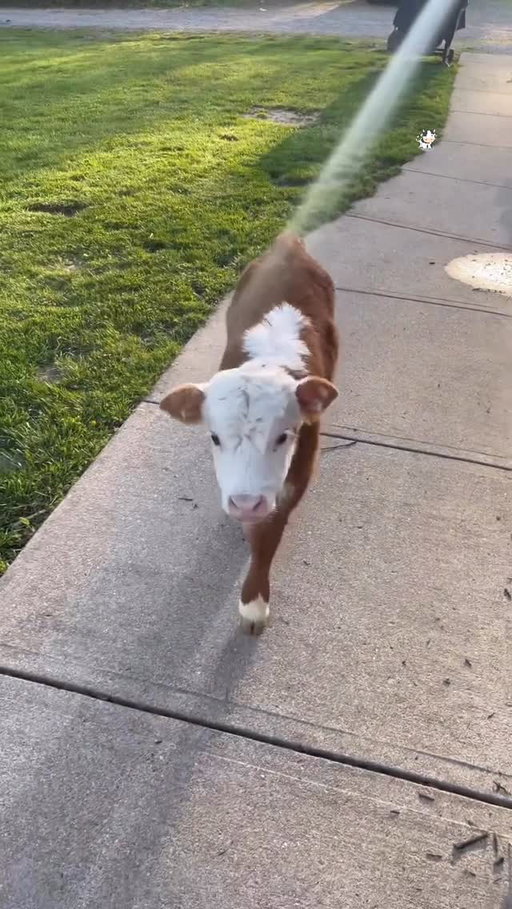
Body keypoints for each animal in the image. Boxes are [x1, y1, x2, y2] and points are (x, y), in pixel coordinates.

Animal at [160, 233, 339, 633]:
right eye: (214, 437)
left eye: (284, 436)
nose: (245, 503)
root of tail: (289, 243)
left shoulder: (297, 473)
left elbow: (269, 535)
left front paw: (254, 606)